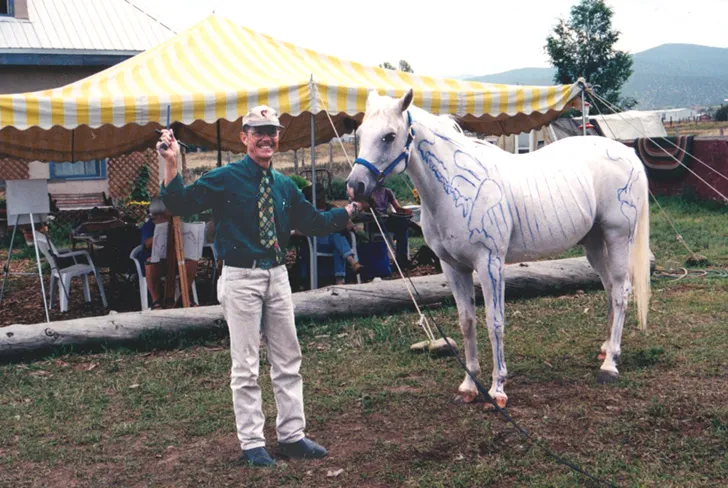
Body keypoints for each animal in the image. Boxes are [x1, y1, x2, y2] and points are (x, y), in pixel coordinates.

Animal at [346, 89, 651, 408]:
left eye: (389, 136)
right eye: (361, 133)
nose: (355, 186)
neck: (457, 188)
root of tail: (627, 154)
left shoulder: (490, 263)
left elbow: (495, 322)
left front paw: (498, 389)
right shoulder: (453, 268)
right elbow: (467, 322)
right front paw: (469, 385)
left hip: (618, 238)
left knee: (621, 292)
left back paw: (610, 364)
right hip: (594, 244)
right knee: (609, 289)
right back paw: (606, 349)